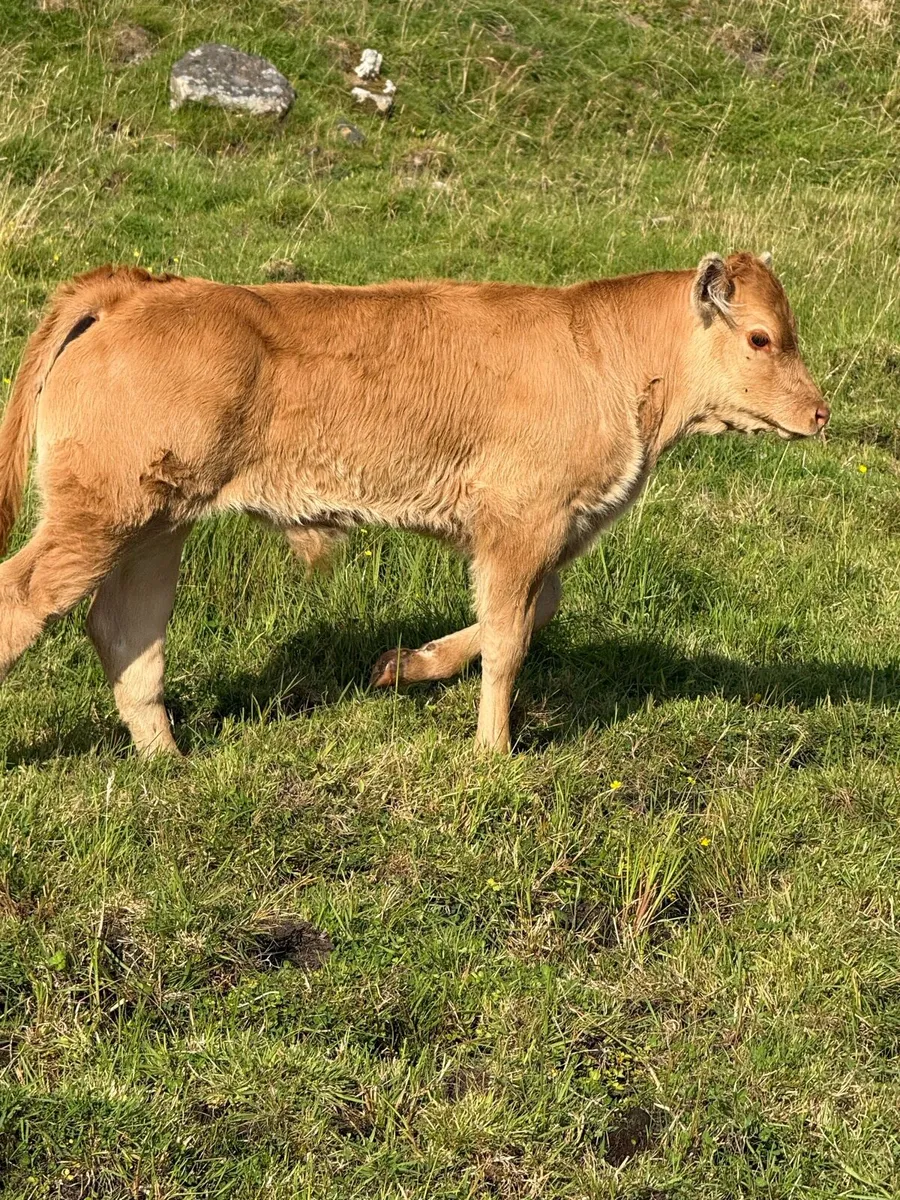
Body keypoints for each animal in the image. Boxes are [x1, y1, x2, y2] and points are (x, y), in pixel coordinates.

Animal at [0, 252, 827, 755]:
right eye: (761, 338)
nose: (820, 413)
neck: (608, 356)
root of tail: (136, 288)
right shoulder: (521, 529)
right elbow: (511, 641)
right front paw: (493, 751)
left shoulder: (537, 539)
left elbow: (529, 615)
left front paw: (403, 667)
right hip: (100, 516)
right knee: (24, 598)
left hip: (156, 524)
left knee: (126, 630)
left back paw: (167, 759)